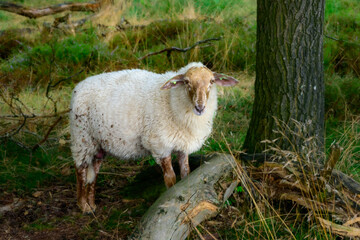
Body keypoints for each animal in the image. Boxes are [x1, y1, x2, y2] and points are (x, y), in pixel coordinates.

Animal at [70, 62, 239, 213]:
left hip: (98, 143)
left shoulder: (182, 145)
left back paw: (91, 204)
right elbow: (170, 177)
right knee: (80, 170)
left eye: (212, 81)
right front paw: (170, 197)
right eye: (186, 82)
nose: (200, 107)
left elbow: (186, 174)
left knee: (94, 172)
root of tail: (79, 85)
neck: (171, 101)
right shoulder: (160, 145)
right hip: (82, 137)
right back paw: (83, 205)